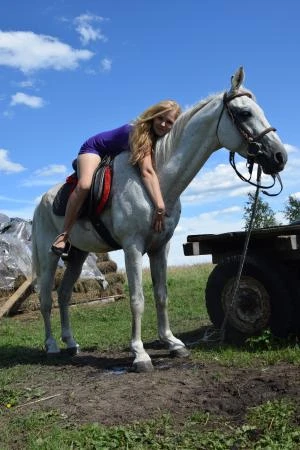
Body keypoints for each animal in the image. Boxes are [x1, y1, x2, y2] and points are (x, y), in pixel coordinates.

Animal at [32, 66, 286, 370]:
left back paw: (71, 343)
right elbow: (137, 299)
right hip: (50, 257)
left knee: (64, 295)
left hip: (78, 255)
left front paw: (173, 344)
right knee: (46, 299)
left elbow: (162, 295)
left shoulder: (160, 247)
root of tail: (40, 202)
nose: (280, 156)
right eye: (245, 113)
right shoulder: (132, 247)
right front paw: (140, 354)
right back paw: (51, 346)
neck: (157, 182)